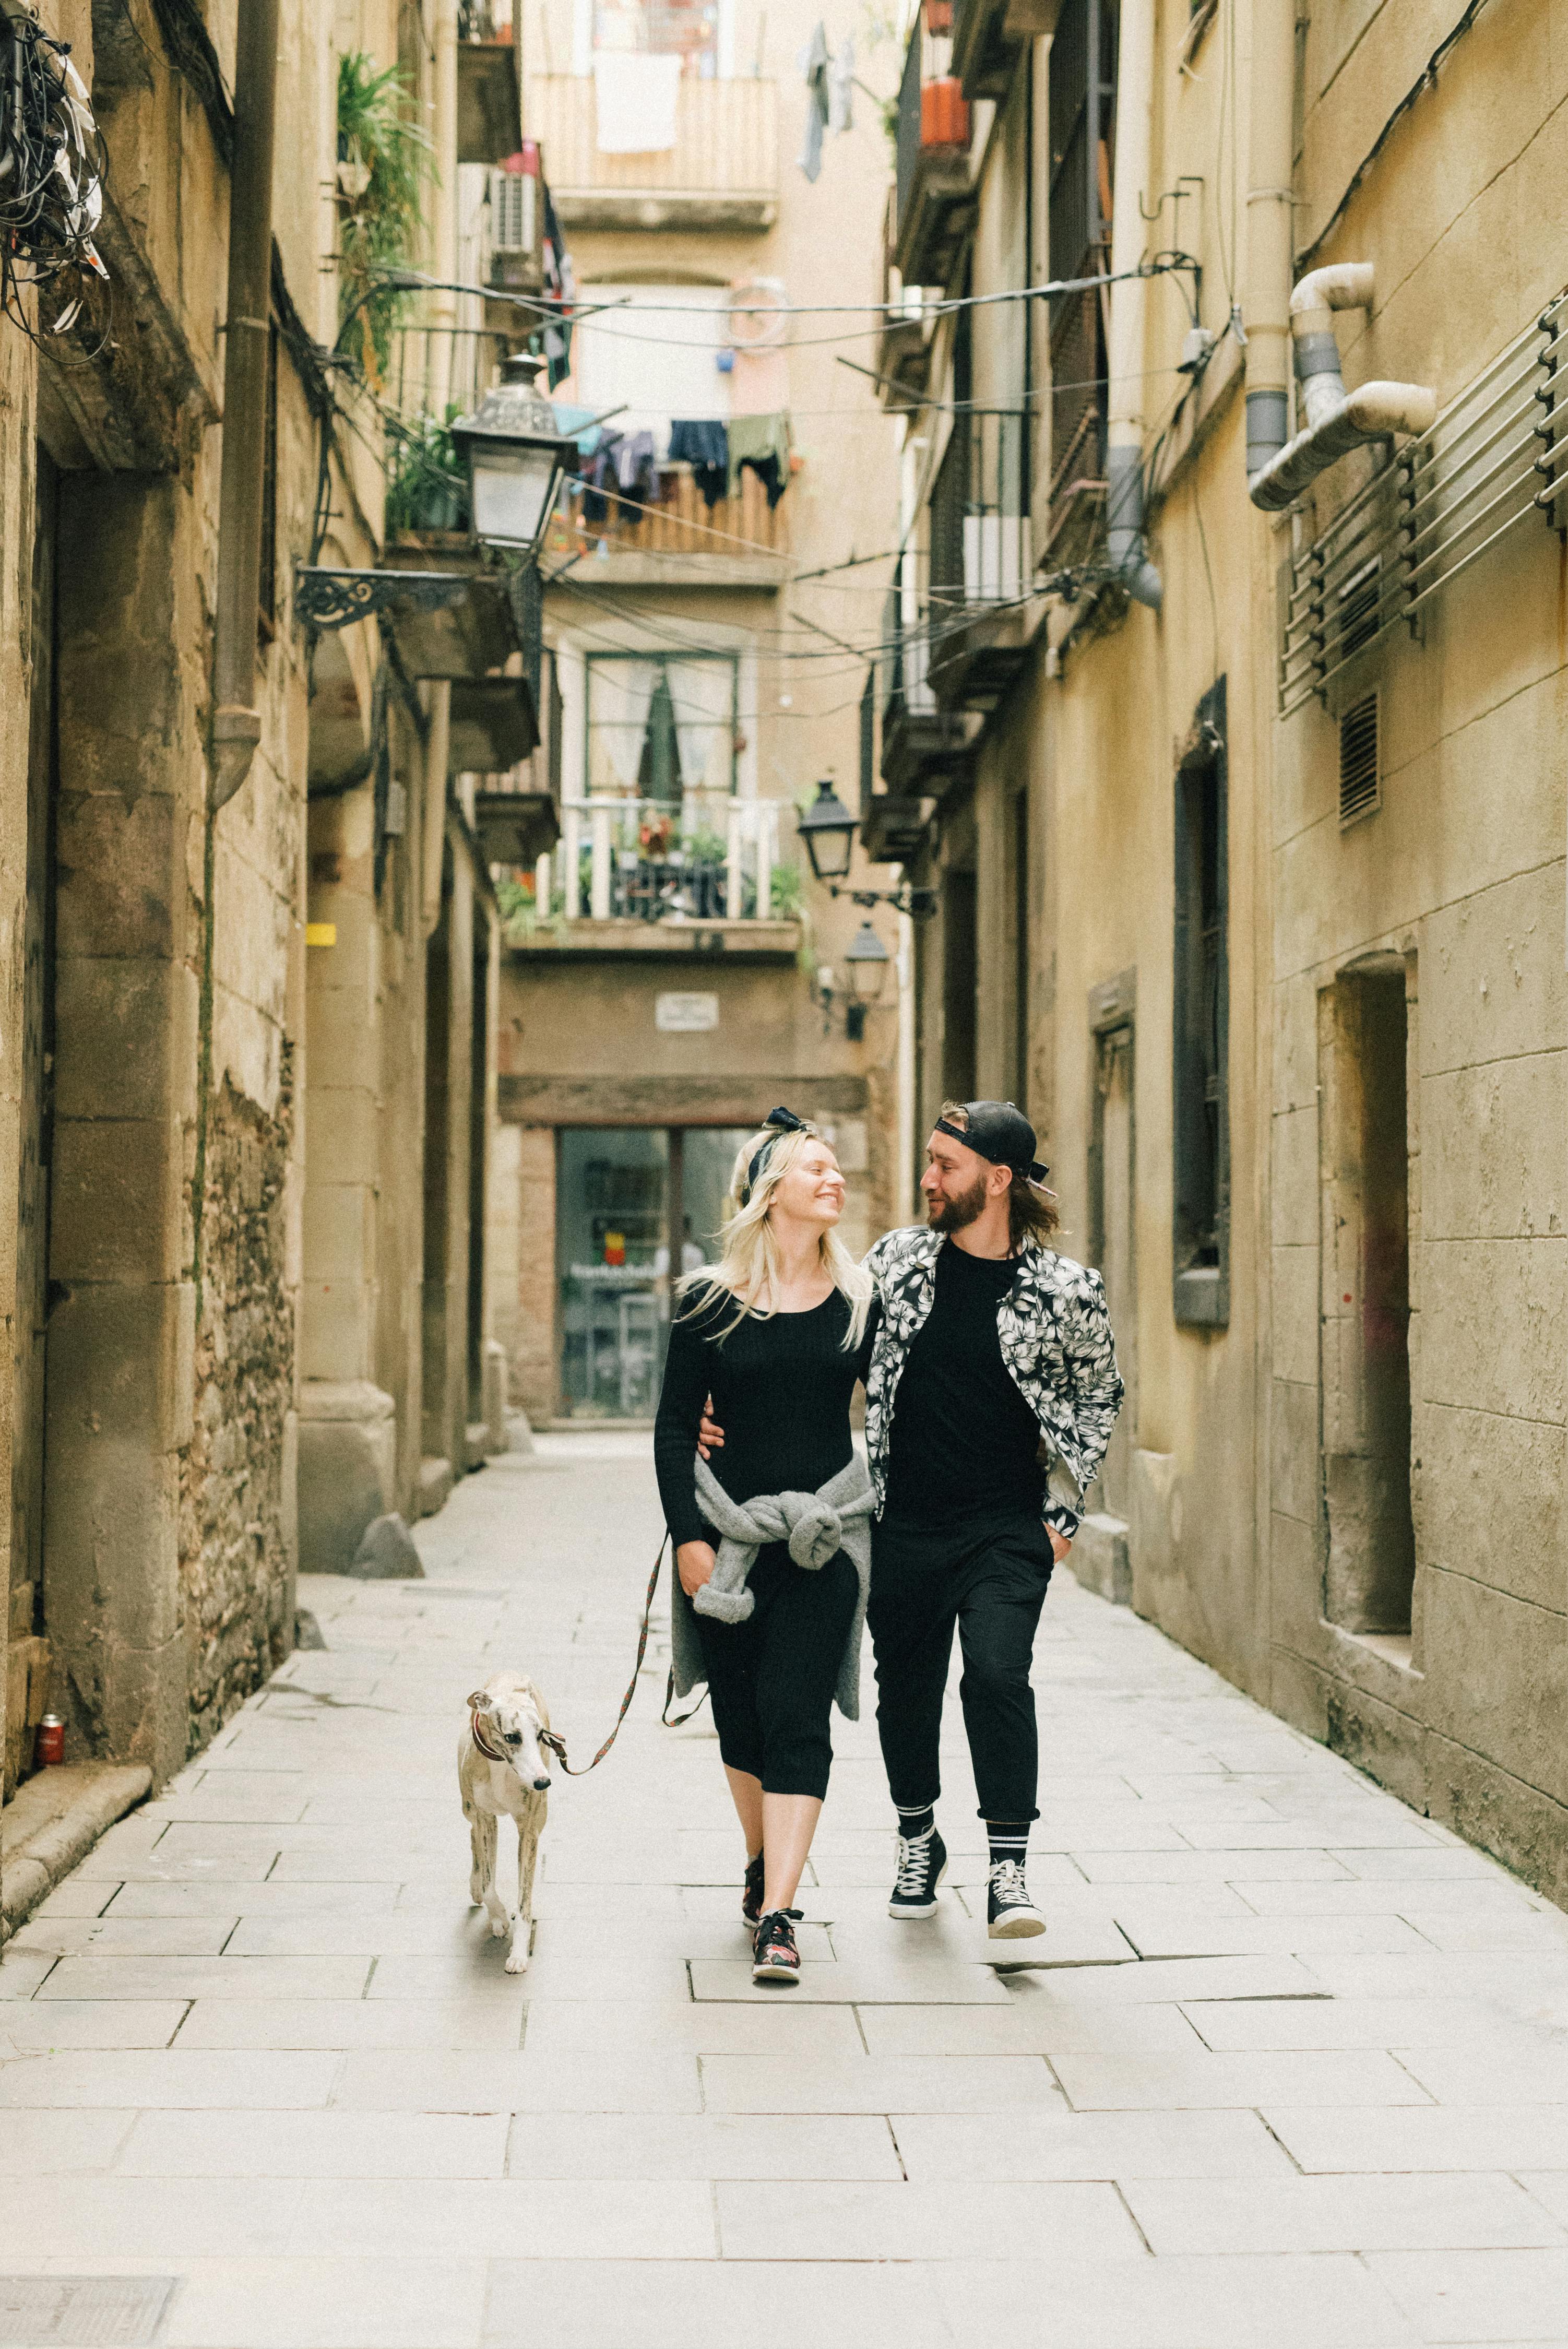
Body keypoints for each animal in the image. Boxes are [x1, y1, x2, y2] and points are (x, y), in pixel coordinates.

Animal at [455, 1663, 554, 1973]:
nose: (543, 1783)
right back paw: (476, 1886)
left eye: (541, 1735)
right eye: (513, 1737)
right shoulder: (485, 1817)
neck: (500, 1764)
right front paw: (497, 1916)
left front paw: (519, 1954)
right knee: (475, 1838)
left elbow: (524, 1903)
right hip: (470, 1809)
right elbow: (489, 1884)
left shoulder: (530, 1830)